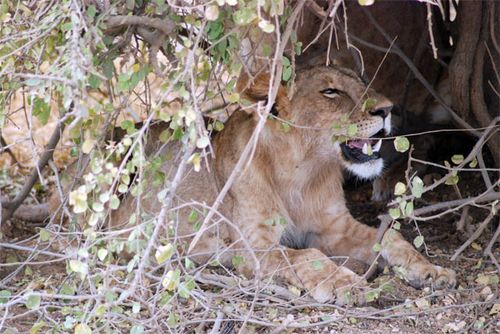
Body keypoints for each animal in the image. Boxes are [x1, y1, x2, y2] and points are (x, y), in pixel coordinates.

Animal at [48, 64, 456, 306]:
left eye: (363, 83)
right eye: (331, 92)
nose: (388, 109)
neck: (303, 171)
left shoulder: (334, 228)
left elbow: (392, 238)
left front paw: (430, 271)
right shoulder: (253, 248)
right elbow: (307, 256)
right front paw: (348, 284)